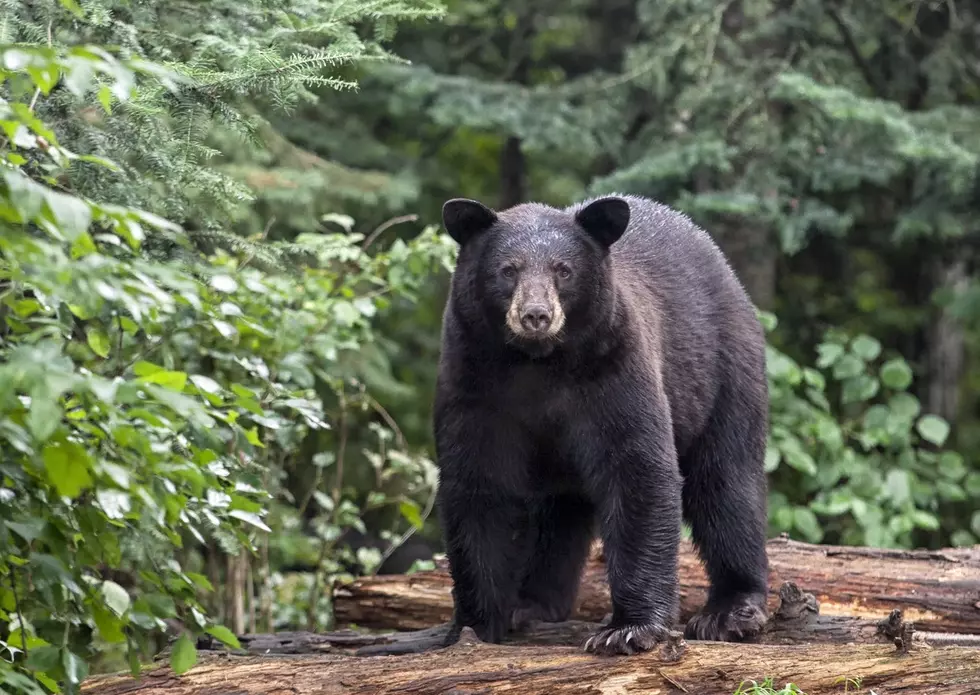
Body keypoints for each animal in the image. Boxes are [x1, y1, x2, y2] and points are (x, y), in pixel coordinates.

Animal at [436, 193, 772, 656]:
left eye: (563, 269)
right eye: (508, 269)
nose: (536, 315)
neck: (536, 364)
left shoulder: (612, 368)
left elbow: (637, 468)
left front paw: (629, 628)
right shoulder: (473, 381)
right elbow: (477, 487)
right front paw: (474, 625)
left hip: (723, 373)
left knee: (727, 484)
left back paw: (731, 610)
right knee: (556, 512)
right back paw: (533, 604)